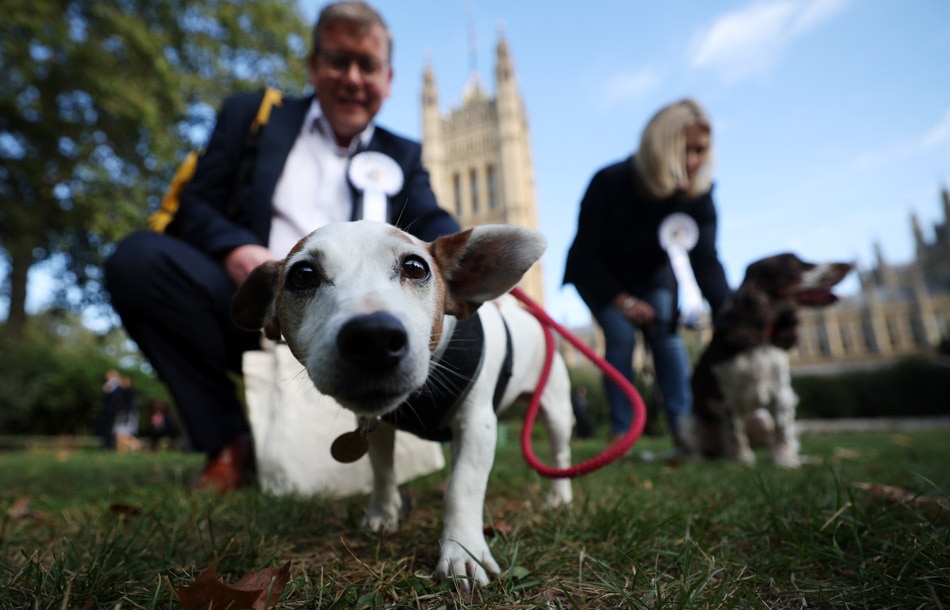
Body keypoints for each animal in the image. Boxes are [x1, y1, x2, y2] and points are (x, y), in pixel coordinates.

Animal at [232, 221, 572, 588]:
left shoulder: (477, 426)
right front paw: (383, 513)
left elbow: (463, 486)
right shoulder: (375, 426)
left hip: (556, 411)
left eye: (415, 267)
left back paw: (559, 497)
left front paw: (461, 551)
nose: (373, 338)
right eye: (303, 275)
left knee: (559, 455)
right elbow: (383, 470)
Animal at [684, 252, 856, 466]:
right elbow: (734, 430)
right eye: (794, 263)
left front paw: (784, 460)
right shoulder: (725, 394)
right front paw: (742, 460)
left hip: (763, 419)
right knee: (699, 449)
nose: (848, 265)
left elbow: (781, 430)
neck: (761, 339)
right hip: (688, 423)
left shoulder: (781, 390)